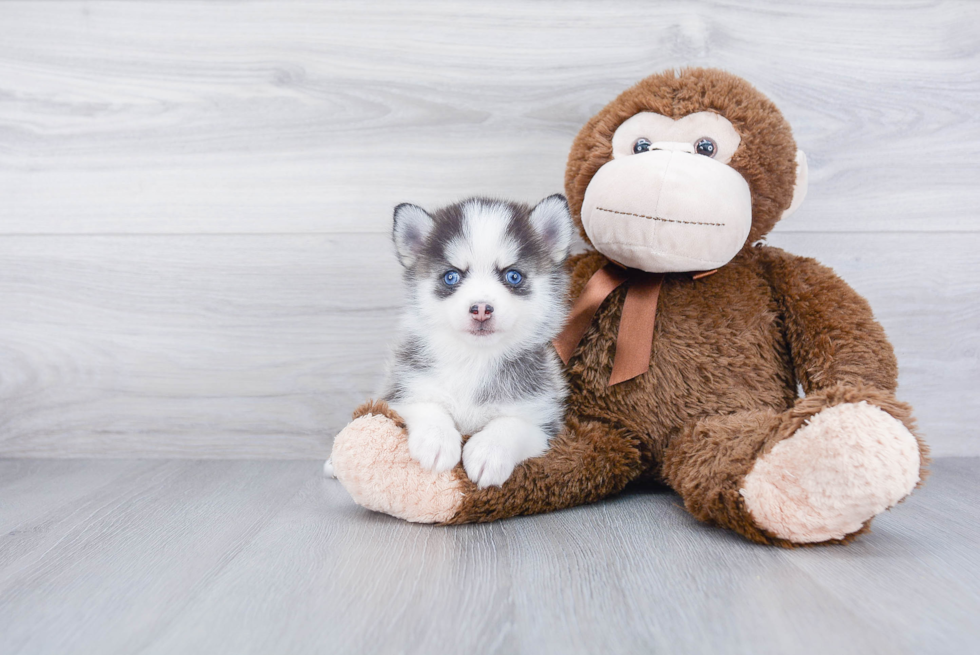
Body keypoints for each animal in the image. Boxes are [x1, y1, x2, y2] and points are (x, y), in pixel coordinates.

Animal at [376, 195, 576, 486]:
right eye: (451, 276)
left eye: (513, 276)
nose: (481, 308)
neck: (475, 358)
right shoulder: (401, 392)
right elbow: (426, 405)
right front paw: (436, 440)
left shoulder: (544, 422)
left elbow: (511, 424)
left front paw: (489, 452)